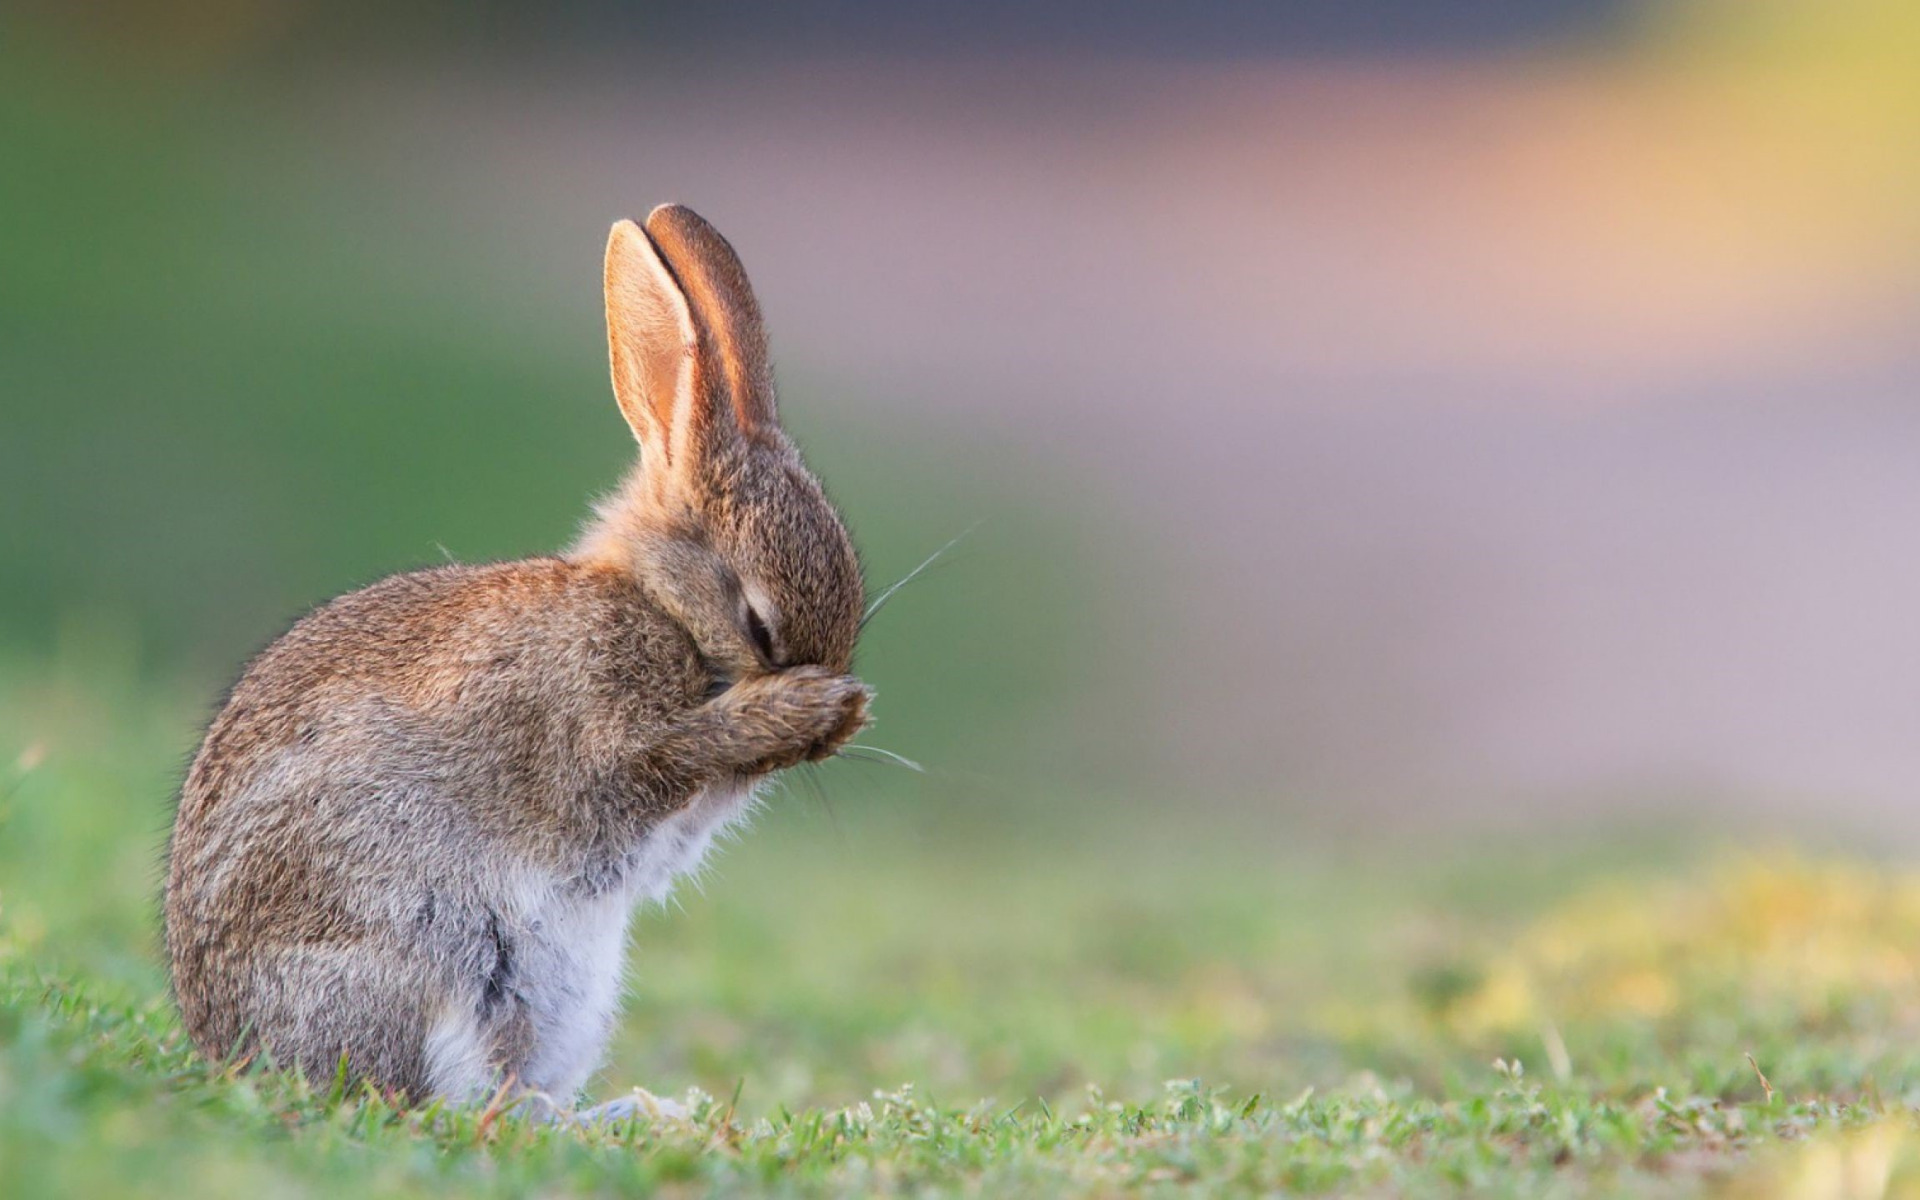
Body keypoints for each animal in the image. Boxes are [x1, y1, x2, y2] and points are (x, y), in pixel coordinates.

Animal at [165, 201, 871, 1105]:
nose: (831, 722)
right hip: (435, 957)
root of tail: (234, 1051)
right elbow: (661, 759)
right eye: (757, 625)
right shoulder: (600, 737)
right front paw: (807, 709)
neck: (659, 604)